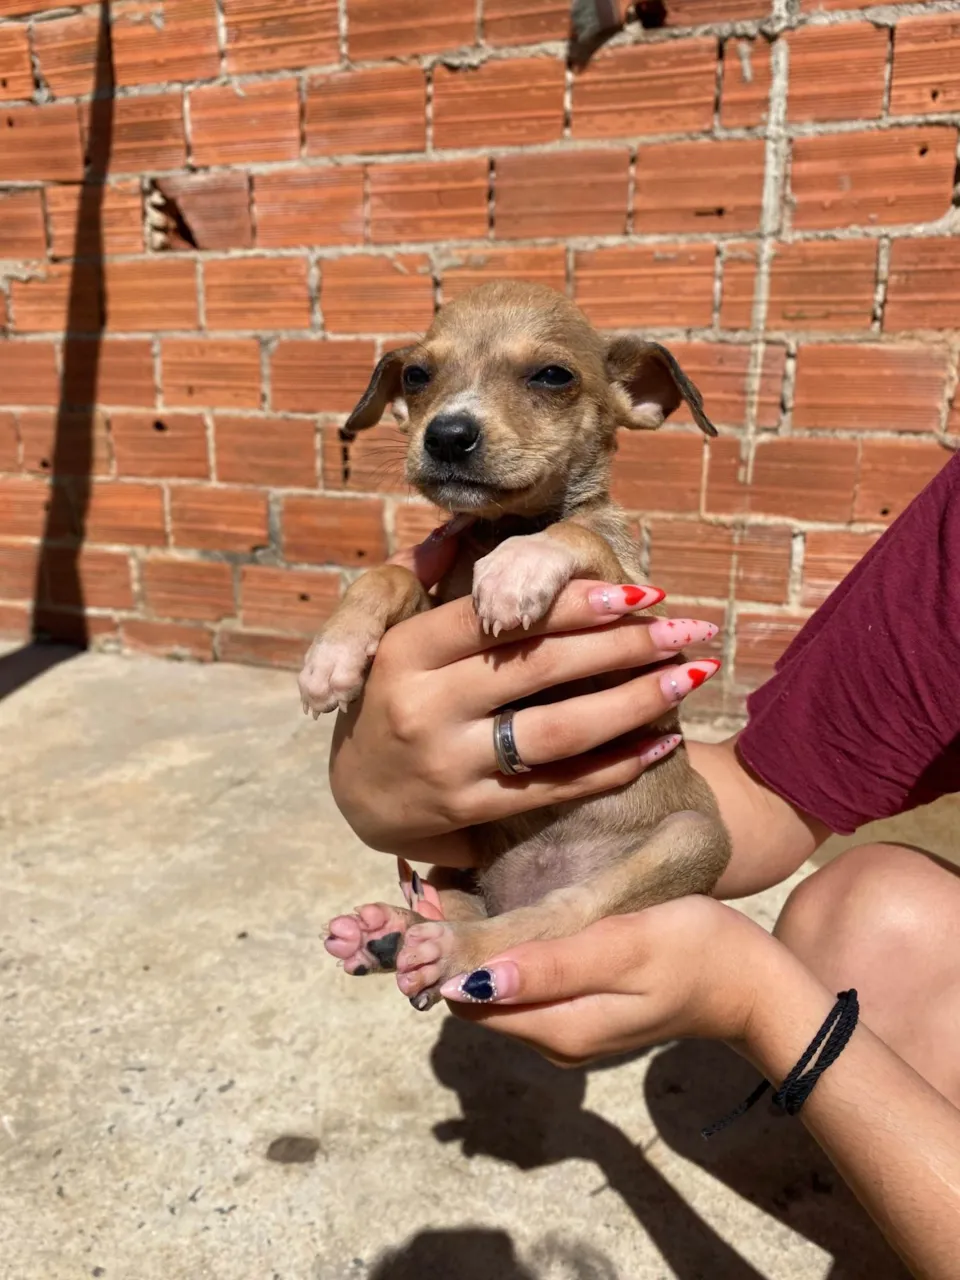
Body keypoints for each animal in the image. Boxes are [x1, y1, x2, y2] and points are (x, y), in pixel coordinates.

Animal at [302, 281, 731, 1010]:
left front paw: (517, 569)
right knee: (462, 896)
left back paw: (447, 947)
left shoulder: (638, 635)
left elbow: (577, 534)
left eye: (553, 375)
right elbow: (388, 573)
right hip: (463, 857)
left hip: (689, 840)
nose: (447, 434)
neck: (502, 525)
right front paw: (331, 657)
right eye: (417, 375)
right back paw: (389, 935)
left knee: (554, 915)